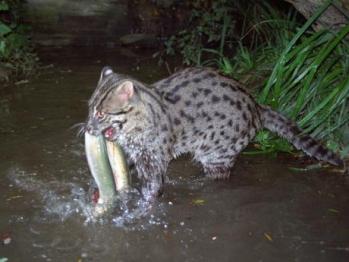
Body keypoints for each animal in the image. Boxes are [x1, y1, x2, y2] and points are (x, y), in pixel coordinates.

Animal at [86, 66, 342, 198]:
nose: (87, 128)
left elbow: (153, 185)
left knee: (219, 174)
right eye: (90, 109)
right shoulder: (136, 152)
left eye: (101, 114)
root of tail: (256, 105)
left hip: (217, 152)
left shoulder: (153, 156)